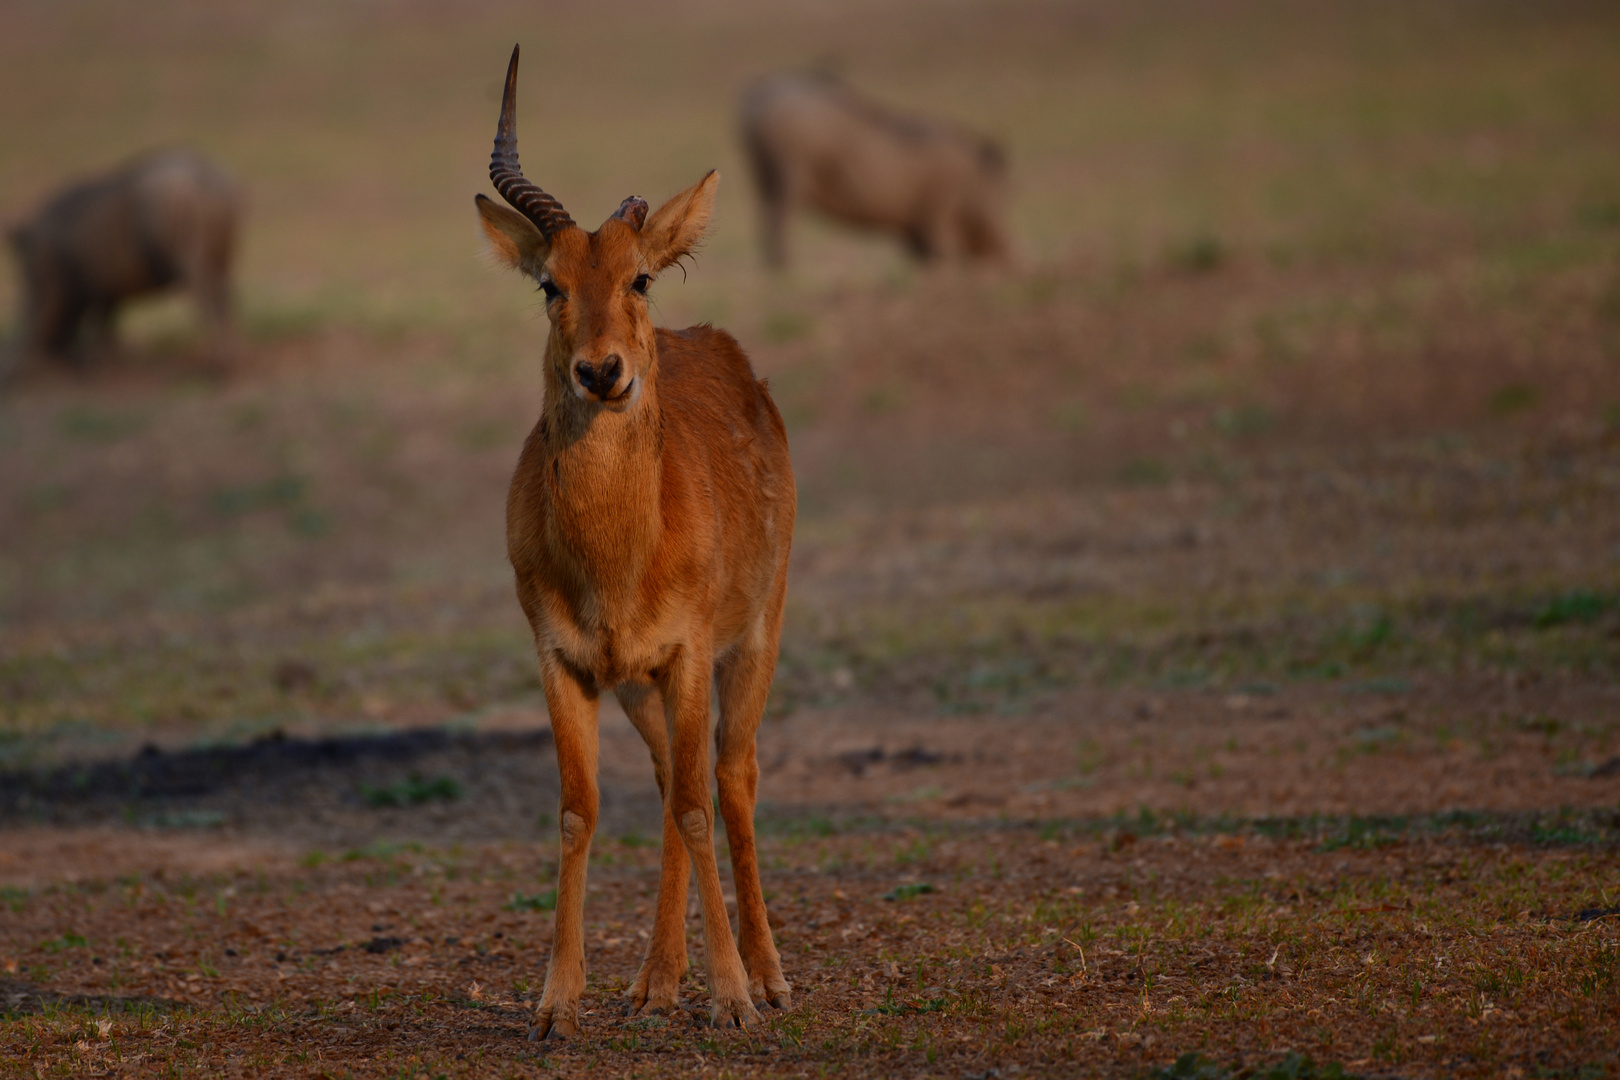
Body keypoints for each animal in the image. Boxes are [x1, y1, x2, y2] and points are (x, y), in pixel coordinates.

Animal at [473, 46, 793, 1036]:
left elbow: (697, 802)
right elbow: (580, 811)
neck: (618, 554)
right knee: (665, 780)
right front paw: (555, 1003)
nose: (602, 371)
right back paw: (655, 978)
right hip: (636, 687)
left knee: (729, 776)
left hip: (754, 641)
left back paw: (767, 974)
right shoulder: (567, 662)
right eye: (550, 283)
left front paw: (733, 999)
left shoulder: (688, 654)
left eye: (639, 279)